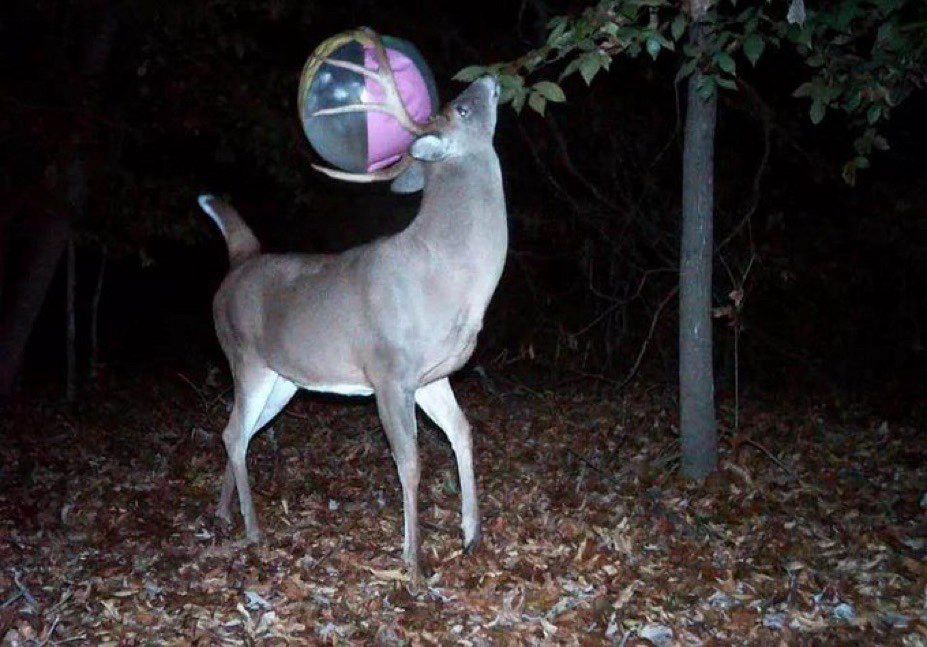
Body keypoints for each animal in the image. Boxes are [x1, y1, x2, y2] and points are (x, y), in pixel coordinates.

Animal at [197, 50, 506, 585]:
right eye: (462, 110)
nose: (488, 78)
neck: (452, 277)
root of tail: (240, 261)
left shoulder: (431, 375)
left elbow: (463, 432)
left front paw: (472, 536)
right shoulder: (389, 371)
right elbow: (409, 461)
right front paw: (414, 565)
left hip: (284, 378)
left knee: (241, 432)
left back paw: (223, 515)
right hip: (246, 358)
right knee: (233, 432)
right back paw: (253, 531)